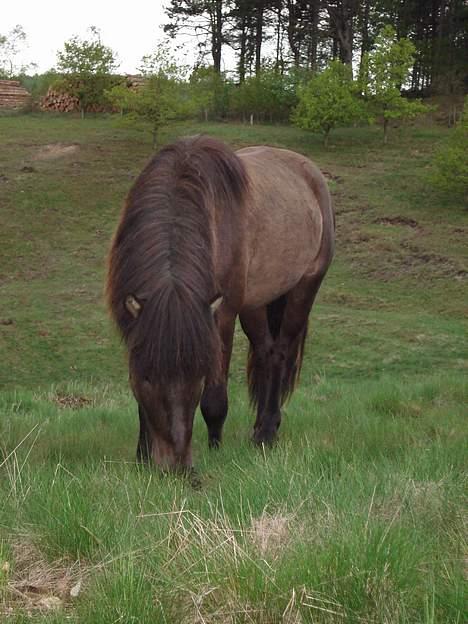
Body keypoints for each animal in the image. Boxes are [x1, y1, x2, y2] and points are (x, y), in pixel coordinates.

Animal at [107, 135, 332, 468]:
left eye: (198, 376)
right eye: (146, 377)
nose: (175, 465)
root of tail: (311, 173)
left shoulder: (221, 315)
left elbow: (215, 397)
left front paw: (215, 448)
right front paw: (142, 455)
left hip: (303, 289)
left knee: (280, 351)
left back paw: (267, 432)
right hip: (255, 303)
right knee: (265, 351)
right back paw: (260, 428)